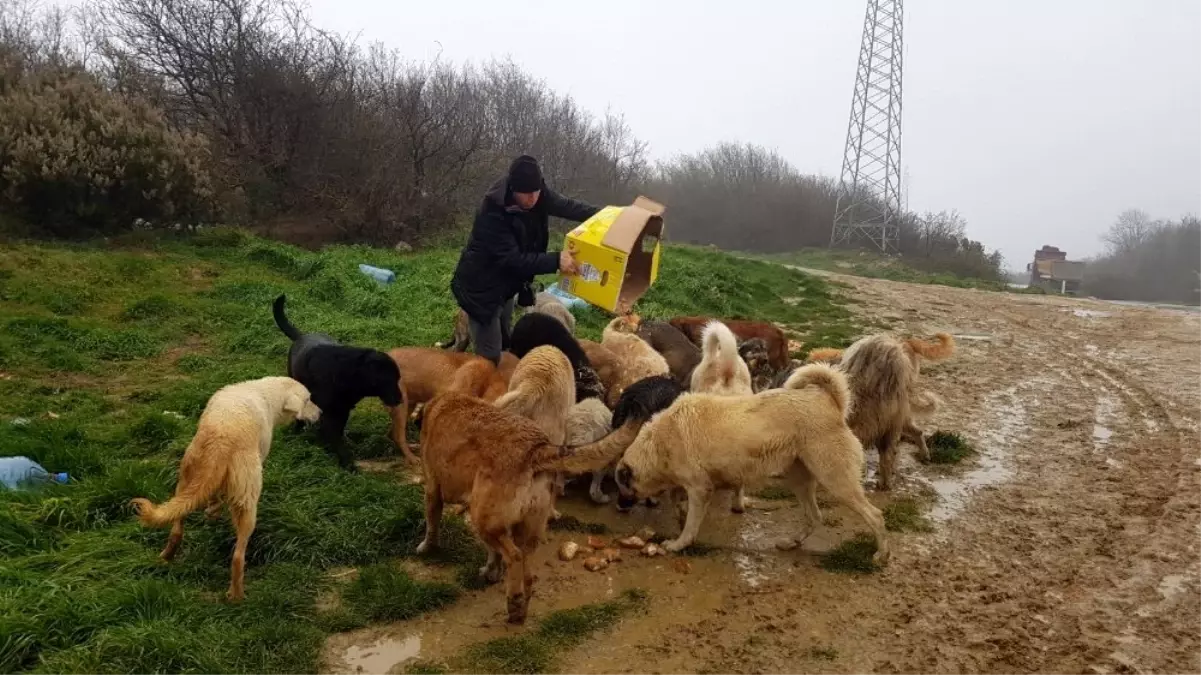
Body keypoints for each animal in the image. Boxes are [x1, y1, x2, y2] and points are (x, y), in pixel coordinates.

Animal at [129, 372, 321, 598]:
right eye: (308, 400)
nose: (321, 413)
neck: (265, 392)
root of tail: (221, 442)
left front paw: (212, 513)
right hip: (247, 502)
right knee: (238, 557)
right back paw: (237, 596)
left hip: (184, 482)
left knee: (176, 529)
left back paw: (166, 557)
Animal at [272, 294, 403, 468]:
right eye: (390, 380)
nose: (401, 400)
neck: (349, 373)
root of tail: (302, 336)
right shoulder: (330, 414)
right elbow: (334, 438)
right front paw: (347, 463)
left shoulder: (343, 410)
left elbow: (337, 434)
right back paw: (296, 433)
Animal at [415, 391, 658, 624]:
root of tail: (536, 448)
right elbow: (493, 554)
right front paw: (491, 572)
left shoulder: (432, 491)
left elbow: (432, 525)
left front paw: (426, 549)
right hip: (522, 529)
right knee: (526, 570)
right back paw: (520, 609)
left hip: (482, 519)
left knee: (513, 556)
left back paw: (514, 603)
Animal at [614, 362, 888, 562]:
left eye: (622, 485)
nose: (619, 506)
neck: (659, 442)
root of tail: (828, 401)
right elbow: (678, 504)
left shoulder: (700, 489)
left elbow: (690, 524)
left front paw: (679, 543)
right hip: (799, 480)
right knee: (814, 516)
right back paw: (792, 543)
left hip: (836, 480)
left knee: (875, 515)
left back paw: (881, 554)